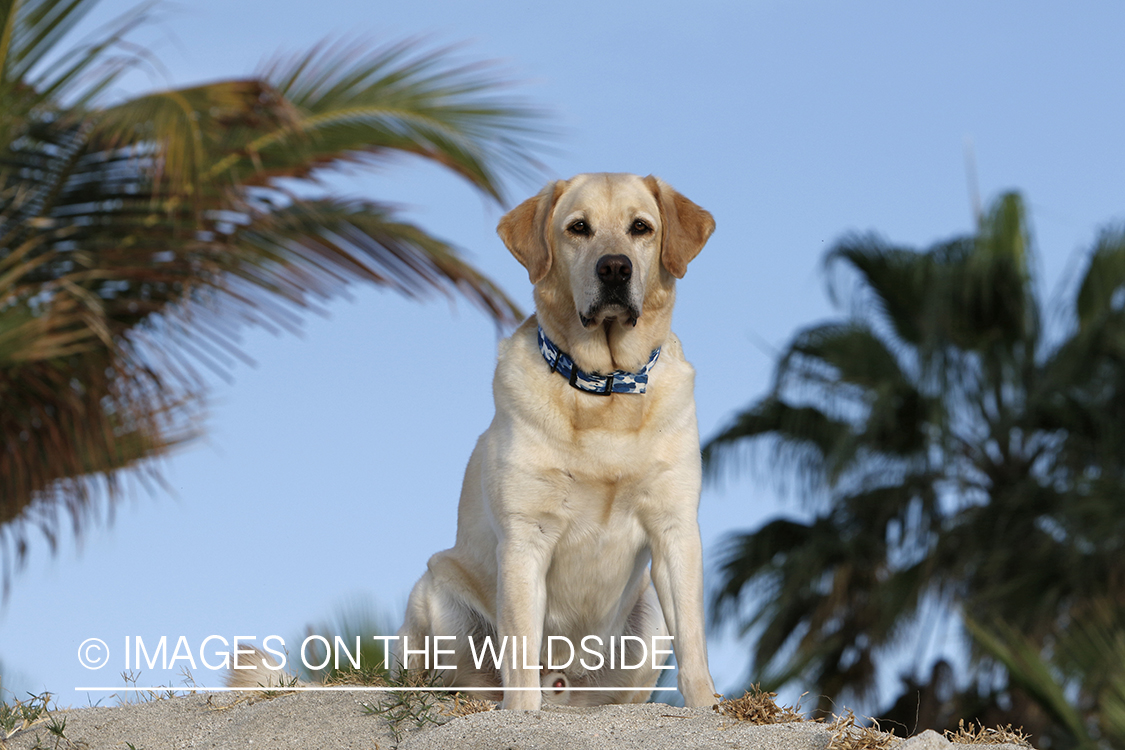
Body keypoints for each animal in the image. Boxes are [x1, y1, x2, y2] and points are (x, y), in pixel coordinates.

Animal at [393, 173, 711, 715]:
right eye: (578, 228)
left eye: (641, 227)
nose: (614, 267)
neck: (604, 390)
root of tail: (564, 683)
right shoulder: (526, 537)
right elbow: (520, 651)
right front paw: (523, 714)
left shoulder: (675, 528)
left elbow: (693, 639)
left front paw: (709, 707)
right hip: (436, 593)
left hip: (647, 621)